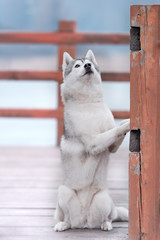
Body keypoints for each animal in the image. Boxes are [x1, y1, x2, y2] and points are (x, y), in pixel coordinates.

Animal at [54, 49, 130, 232]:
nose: (88, 66)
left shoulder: (111, 146)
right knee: (68, 218)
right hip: (64, 192)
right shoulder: (93, 143)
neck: (89, 103)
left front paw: (127, 121)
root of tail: (84, 222)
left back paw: (106, 224)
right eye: (77, 65)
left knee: (108, 217)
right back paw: (63, 224)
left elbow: (116, 129)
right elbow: (114, 131)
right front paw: (130, 123)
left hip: (103, 198)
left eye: (89, 63)